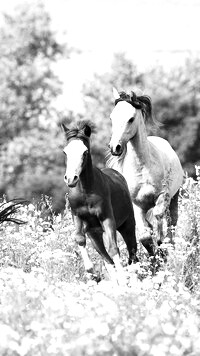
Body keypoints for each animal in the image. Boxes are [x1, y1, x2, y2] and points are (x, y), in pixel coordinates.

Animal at [62, 121, 138, 282]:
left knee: (132, 253)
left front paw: (123, 279)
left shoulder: (107, 218)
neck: (85, 192)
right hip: (95, 234)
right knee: (107, 258)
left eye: (84, 152)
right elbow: (80, 239)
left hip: (127, 225)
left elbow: (114, 249)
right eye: (65, 152)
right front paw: (91, 271)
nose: (71, 179)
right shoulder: (77, 216)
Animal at [107, 89, 184, 256]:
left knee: (172, 222)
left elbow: (158, 215)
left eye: (131, 119)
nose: (115, 147)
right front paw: (154, 256)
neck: (142, 168)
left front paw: (162, 244)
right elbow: (144, 236)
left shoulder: (163, 196)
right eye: (111, 117)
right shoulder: (136, 205)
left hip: (174, 197)